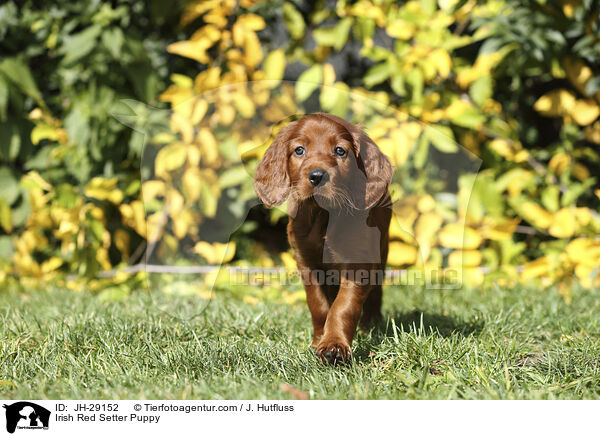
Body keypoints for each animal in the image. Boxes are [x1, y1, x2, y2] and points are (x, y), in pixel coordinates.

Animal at [253, 113, 394, 364]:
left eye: (340, 151)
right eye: (299, 150)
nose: (317, 176)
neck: (323, 215)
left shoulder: (358, 262)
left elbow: (343, 306)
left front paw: (334, 345)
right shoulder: (307, 261)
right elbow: (318, 305)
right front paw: (318, 340)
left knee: (376, 291)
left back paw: (371, 325)